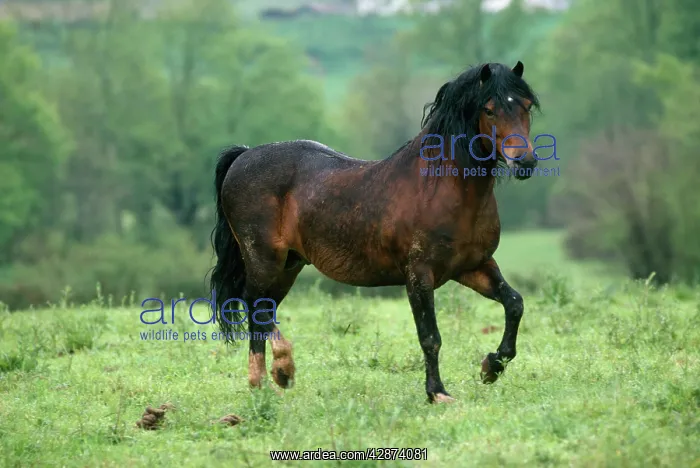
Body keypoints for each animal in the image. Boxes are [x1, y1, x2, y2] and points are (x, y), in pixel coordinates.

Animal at [210, 61, 540, 403]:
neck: (439, 188)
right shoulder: (419, 276)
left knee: (262, 309)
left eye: (527, 105)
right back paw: (276, 371)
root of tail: (243, 155)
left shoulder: (474, 266)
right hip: (264, 258)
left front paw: (491, 367)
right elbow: (430, 336)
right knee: (255, 304)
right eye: (489, 109)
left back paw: (269, 380)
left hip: (289, 264)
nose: (525, 162)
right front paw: (437, 393)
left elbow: (514, 303)